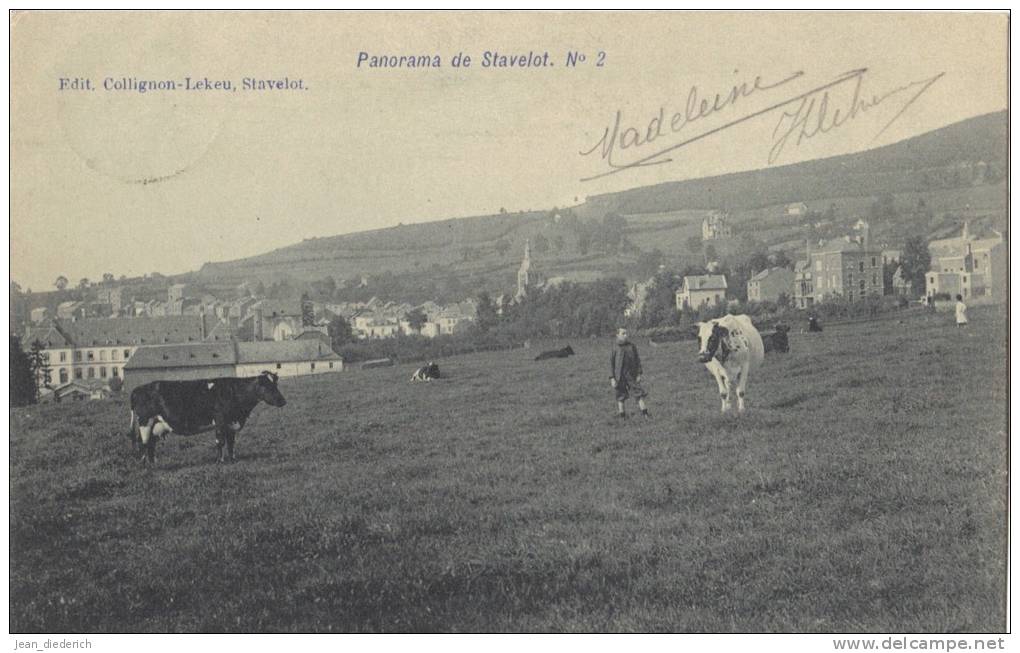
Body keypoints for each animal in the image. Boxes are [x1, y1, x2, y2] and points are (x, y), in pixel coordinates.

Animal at [129, 371, 287, 465]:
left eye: (276, 384)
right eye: (266, 386)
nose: (283, 401)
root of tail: (137, 389)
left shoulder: (231, 423)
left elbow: (231, 443)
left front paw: (232, 459)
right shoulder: (220, 421)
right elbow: (220, 442)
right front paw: (219, 461)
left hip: (155, 424)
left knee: (150, 445)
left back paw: (152, 463)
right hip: (145, 422)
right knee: (143, 444)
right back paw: (147, 466)